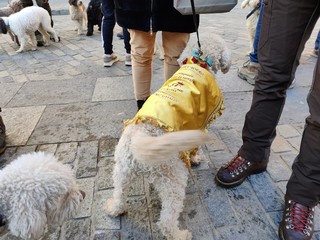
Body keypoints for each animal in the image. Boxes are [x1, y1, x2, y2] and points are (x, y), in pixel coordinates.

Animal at [104, 32, 230, 239]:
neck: (199, 62)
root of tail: (142, 136)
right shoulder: (200, 125)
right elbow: (195, 148)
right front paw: (196, 159)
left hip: (122, 170)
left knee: (119, 194)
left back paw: (114, 208)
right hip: (173, 177)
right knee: (166, 220)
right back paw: (180, 234)